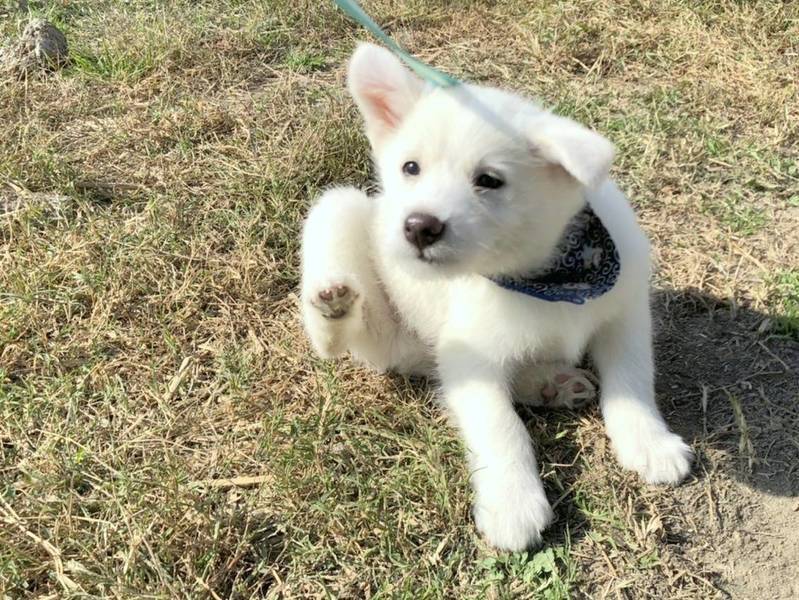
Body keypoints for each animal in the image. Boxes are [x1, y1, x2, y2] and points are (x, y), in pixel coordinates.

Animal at [300, 42, 693, 551]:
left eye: (489, 180)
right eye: (411, 167)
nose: (418, 226)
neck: (543, 275)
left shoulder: (624, 316)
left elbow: (632, 380)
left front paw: (649, 442)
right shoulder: (468, 353)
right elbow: (501, 427)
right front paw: (512, 503)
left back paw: (550, 383)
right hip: (346, 219)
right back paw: (333, 302)